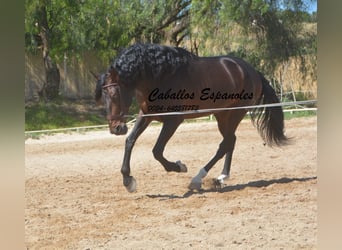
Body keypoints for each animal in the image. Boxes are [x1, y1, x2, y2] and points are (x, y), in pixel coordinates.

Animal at [95, 43, 288, 192]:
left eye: (114, 94)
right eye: (103, 96)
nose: (116, 128)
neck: (160, 75)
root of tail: (252, 71)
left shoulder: (173, 120)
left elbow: (157, 151)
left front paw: (179, 167)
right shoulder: (147, 115)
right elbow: (130, 141)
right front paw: (128, 181)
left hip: (235, 113)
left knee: (225, 143)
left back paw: (197, 179)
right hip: (222, 115)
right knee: (230, 142)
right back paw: (221, 177)